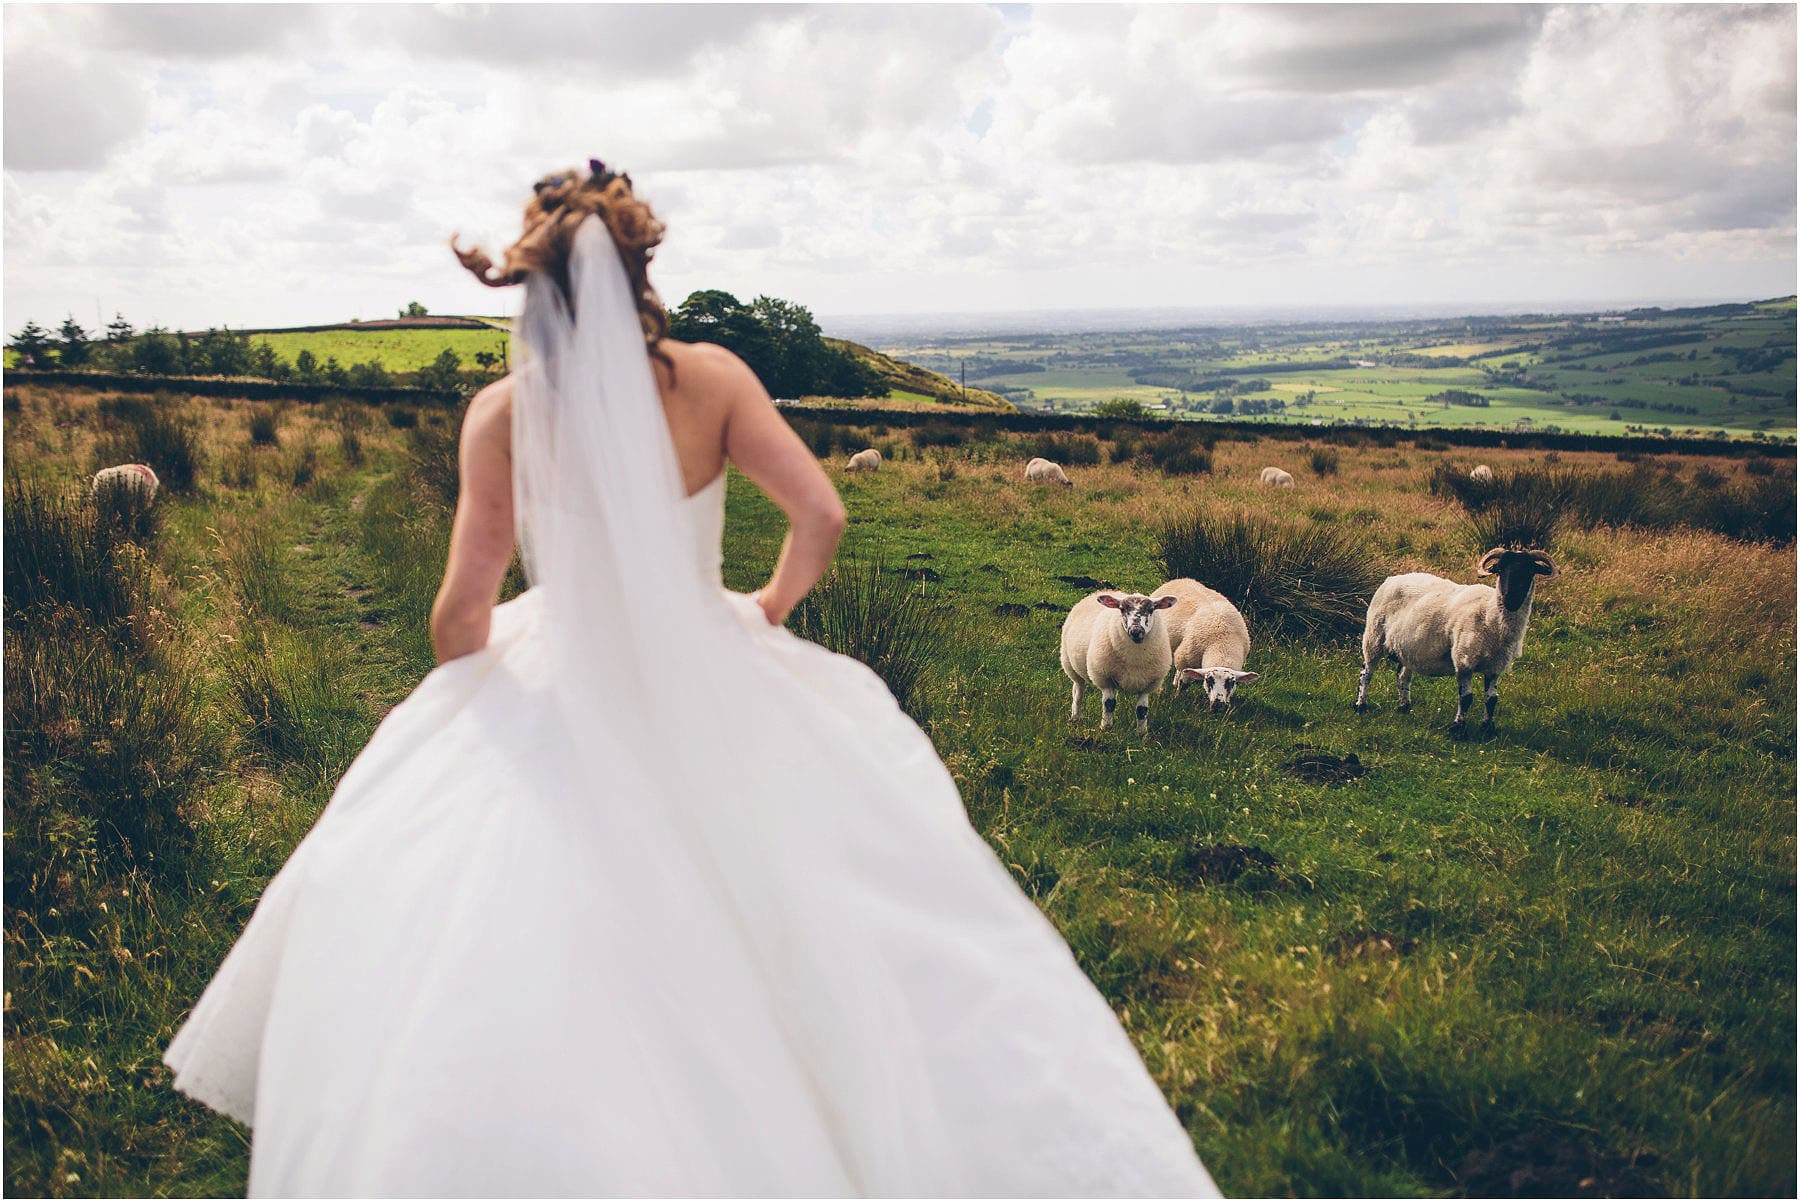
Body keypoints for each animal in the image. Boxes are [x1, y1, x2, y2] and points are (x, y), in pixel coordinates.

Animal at [1051, 590, 1180, 737]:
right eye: (1122, 609)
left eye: (1151, 609)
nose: (1136, 631)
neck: (1135, 658)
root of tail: (1101, 591)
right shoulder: (1105, 678)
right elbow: (1109, 704)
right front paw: (1106, 728)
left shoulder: (1147, 685)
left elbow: (1142, 710)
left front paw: (1141, 734)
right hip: (1070, 666)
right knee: (1078, 692)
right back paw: (1075, 717)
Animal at [1152, 575, 1267, 708]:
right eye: (1209, 680)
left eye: (1232, 682)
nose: (1218, 705)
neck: (1222, 644)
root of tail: (1182, 579)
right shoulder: (1185, 660)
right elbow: (1183, 684)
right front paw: (1175, 699)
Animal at [1353, 543, 1555, 734]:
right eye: (1500, 569)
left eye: (1529, 571)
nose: (1510, 598)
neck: (1490, 616)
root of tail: (1392, 579)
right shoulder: (1463, 660)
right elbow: (1466, 698)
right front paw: (1458, 728)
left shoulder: (1495, 666)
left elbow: (1492, 699)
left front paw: (1488, 729)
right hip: (1374, 637)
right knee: (1367, 673)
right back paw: (1360, 705)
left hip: (1407, 647)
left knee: (1403, 676)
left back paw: (1404, 707)